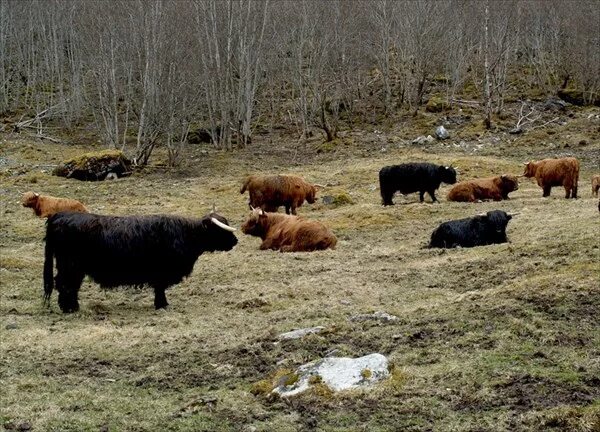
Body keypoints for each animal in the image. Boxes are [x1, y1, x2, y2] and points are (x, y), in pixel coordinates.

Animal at [44, 211, 239, 312]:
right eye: (221, 230)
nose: (235, 241)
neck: (186, 234)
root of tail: (59, 216)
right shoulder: (161, 272)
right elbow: (160, 289)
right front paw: (162, 305)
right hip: (71, 265)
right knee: (65, 285)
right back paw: (69, 308)